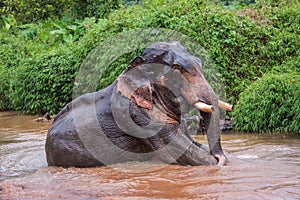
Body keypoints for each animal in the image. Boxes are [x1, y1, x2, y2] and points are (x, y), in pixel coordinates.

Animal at [45, 41, 230, 167]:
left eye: (200, 62)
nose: (218, 156)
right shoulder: (138, 115)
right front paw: (219, 162)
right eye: (177, 69)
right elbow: (182, 153)